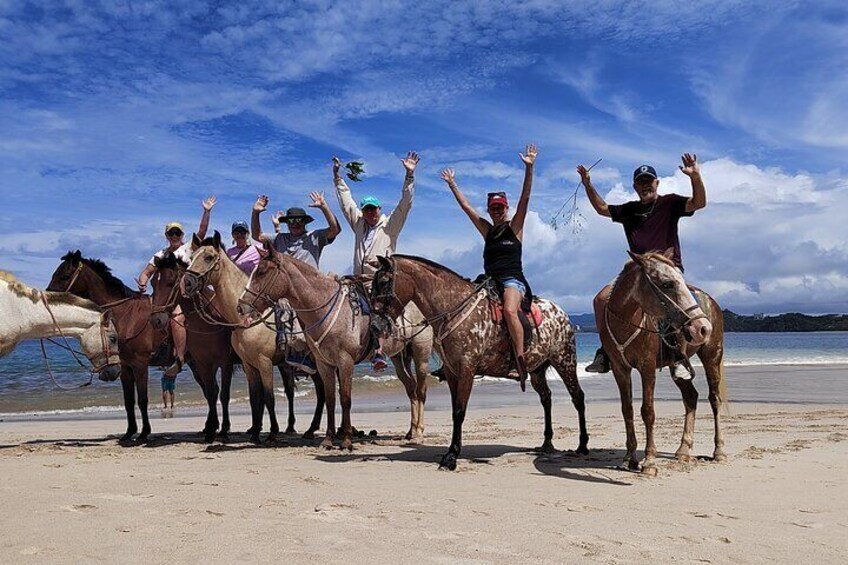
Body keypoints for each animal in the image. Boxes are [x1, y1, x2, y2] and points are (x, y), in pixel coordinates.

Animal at [48, 250, 172, 440]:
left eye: (64, 275)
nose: (47, 298)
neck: (128, 317)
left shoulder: (140, 365)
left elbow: (142, 400)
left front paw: (144, 433)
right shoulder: (125, 367)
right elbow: (129, 401)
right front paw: (130, 432)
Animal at [152, 251, 324, 440]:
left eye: (170, 282)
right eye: (153, 283)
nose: (156, 319)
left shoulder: (228, 362)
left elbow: (226, 394)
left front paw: (223, 429)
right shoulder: (204, 364)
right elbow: (212, 393)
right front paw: (212, 429)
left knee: (307, 390)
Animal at [229, 236, 434, 448]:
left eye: (261, 272)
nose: (241, 306)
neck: (325, 307)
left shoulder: (345, 361)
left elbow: (345, 399)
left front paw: (346, 440)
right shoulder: (324, 364)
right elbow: (329, 399)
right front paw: (328, 440)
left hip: (421, 354)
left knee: (421, 389)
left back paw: (419, 433)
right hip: (399, 357)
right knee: (410, 388)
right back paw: (410, 432)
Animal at [372, 253, 588, 470]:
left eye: (383, 282)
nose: (374, 326)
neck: (453, 308)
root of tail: (563, 313)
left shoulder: (467, 370)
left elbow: (459, 412)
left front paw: (451, 456)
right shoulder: (452, 372)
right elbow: (455, 411)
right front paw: (452, 452)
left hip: (565, 361)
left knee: (578, 397)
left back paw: (582, 445)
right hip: (536, 370)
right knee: (546, 398)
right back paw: (547, 443)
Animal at [596, 249, 728, 474]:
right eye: (667, 284)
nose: (703, 328)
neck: (625, 321)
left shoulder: (647, 367)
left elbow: (648, 411)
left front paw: (649, 460)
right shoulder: (620, 369)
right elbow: (627, 409)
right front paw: (629, 457)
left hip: (712, 355)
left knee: (714, 399)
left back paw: (718, 451)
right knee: (690, 397)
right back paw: (683, 449)